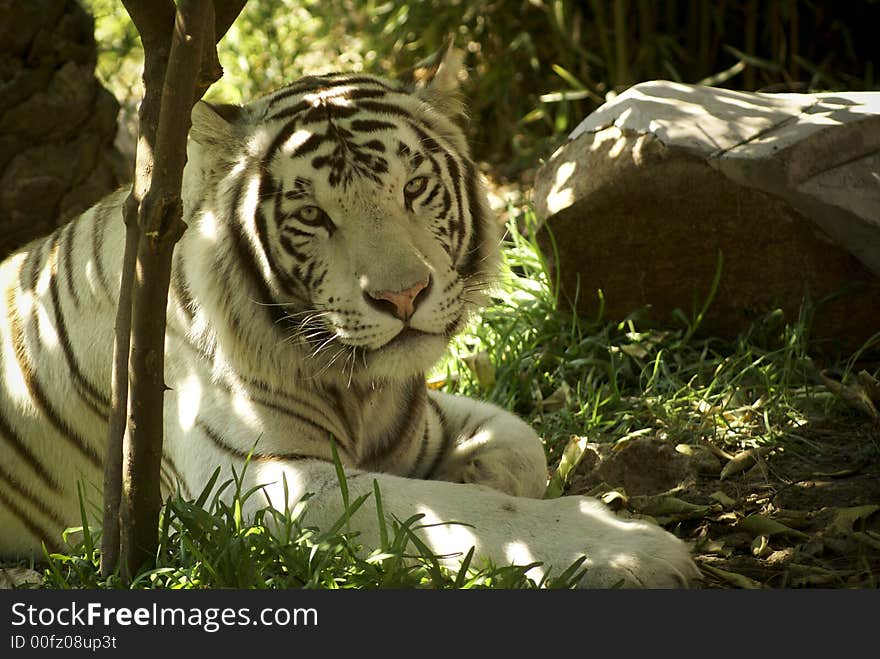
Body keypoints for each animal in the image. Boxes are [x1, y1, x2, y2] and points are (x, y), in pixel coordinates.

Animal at [1, 49, 700, 592]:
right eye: (312, 216)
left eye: (413, 188)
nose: (403, 296)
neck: (362, 388)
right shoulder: (262, 479)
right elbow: (459, 512)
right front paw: (631, 551)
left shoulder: (419, 419)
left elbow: (520, 442)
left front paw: (476, 471)